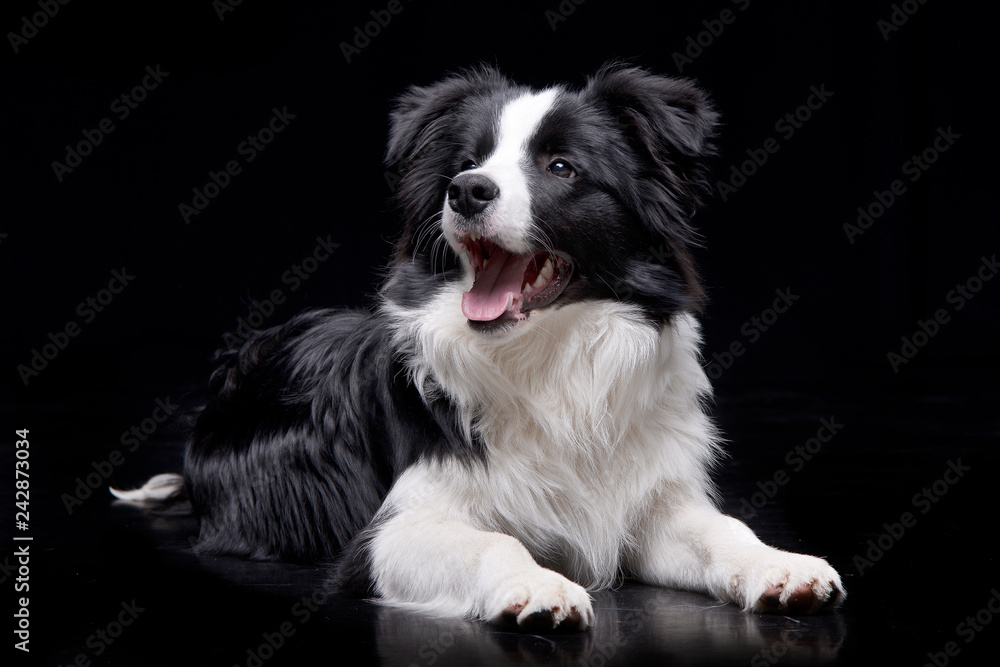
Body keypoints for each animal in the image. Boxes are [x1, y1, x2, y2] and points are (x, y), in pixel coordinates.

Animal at [121, 62, 848, 632]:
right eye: (466, 164)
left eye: (562, 167)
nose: (466, 190)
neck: (549, 361)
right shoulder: (392, 531)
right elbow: (494, 541)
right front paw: (542, 586)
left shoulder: (644, 500)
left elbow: (722, 528)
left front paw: (780, 565)